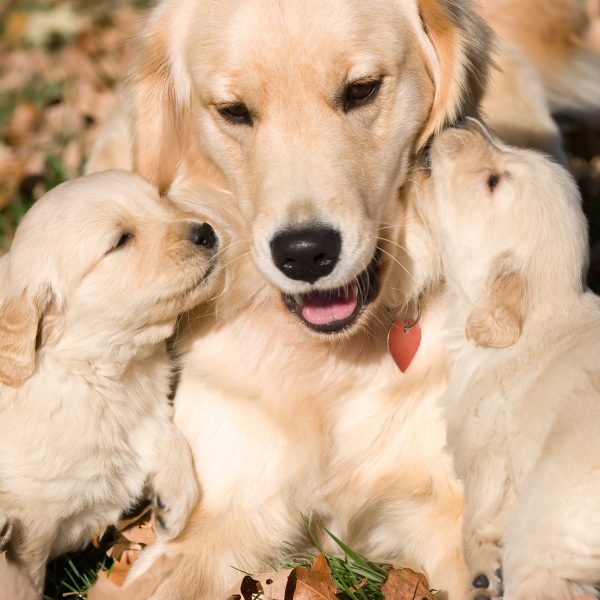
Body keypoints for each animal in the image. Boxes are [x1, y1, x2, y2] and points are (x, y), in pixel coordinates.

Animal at [0, 171, 225, 592]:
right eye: (121, 241)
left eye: (161, 200)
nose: (205, 231)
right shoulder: (33, 518)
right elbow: (26, 576)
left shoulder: (146, 414)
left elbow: (169, 437)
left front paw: (173, 504)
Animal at [414, 119, 600, 596]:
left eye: (494, 181)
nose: (461, 122)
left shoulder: (485, 451)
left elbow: (473, 518)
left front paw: (481, 569)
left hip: (544, 528)